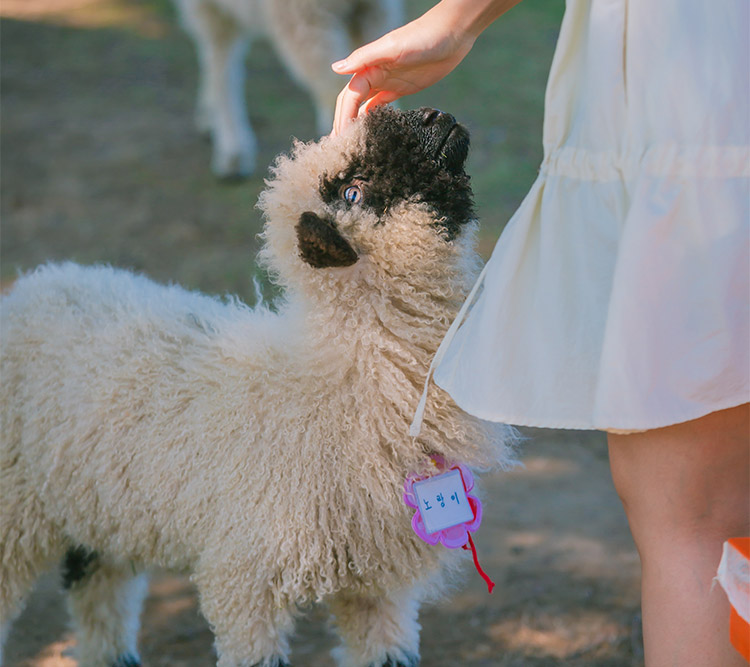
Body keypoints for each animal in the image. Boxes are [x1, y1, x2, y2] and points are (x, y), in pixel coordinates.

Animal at [0, 107, 516, 667]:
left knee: (96, 582)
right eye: (353, 190)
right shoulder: (244, 577)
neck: (342, 388)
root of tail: (33, 286)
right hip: (14, 507)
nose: (436, 116)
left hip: (100, 504)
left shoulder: (377, 587)